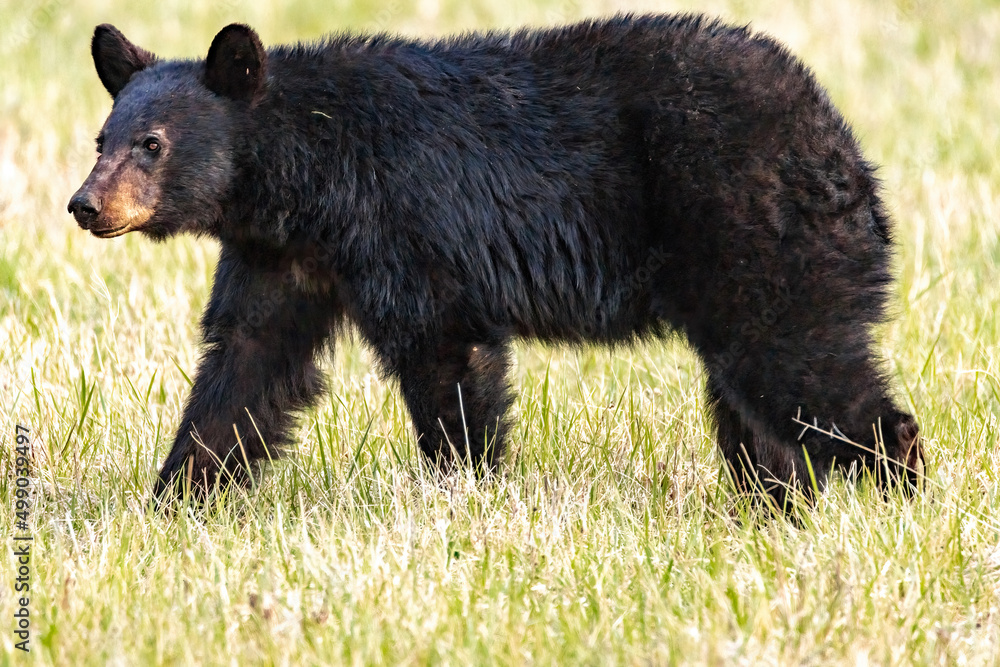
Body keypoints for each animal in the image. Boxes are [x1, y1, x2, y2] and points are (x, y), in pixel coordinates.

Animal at [68, 15, 923, 511]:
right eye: (102, 138)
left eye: (153, 144)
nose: (85, 204)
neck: (309, 172)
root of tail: (845, 151)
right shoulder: (282, 255)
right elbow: (246, 362)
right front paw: (175, 498)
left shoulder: (402, 227)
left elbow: (446, 356)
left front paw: (465, 492)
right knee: (755, 404)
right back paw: (774, 505)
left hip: (755, 232)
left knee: (808, 370)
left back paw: (896, 496)